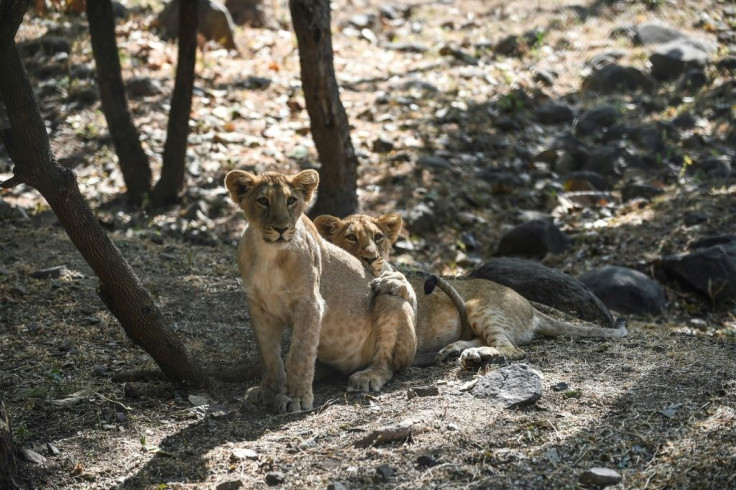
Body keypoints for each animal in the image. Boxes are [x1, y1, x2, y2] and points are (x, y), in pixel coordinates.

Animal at [226, 170, 414, 412]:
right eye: (263, 201)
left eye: (291, 200)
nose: (281, 228)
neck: (269, 255)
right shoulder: (259, 307)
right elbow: (268, 355)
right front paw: (268, 391)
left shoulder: (310, 303)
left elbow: (300, 352)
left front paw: (295, 398)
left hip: (388, 300)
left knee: (389, 364)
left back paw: (368, 376)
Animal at [312, 212, 628, 366]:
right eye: (351, 237)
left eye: (378, 237)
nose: (371, 257)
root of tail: (530, 306)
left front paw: (390, 280)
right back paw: (456, 350)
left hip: (480, 306)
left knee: (512, 350)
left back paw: (477, 355)